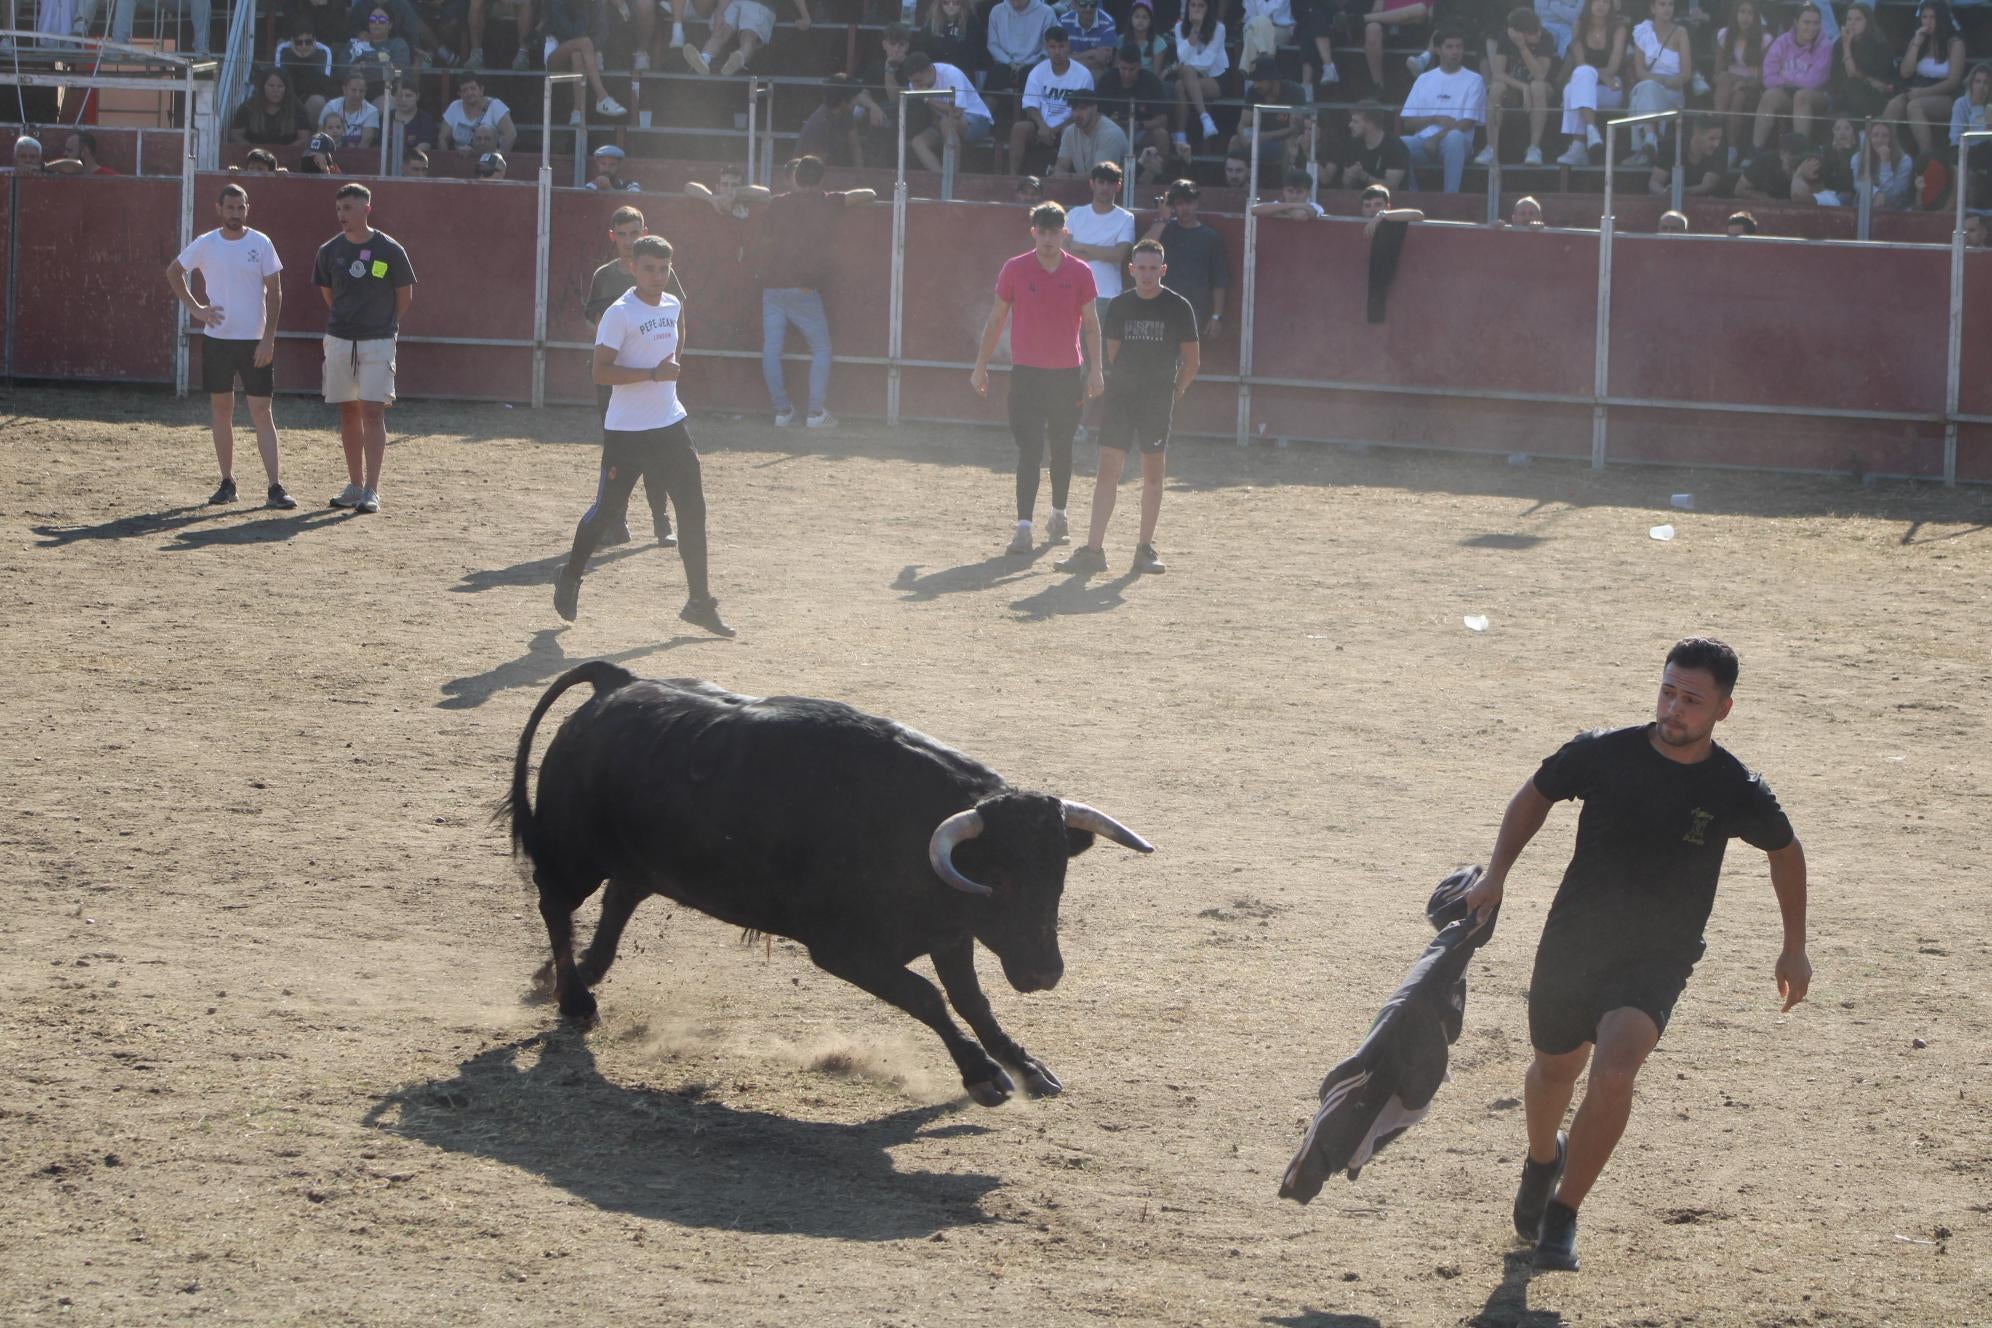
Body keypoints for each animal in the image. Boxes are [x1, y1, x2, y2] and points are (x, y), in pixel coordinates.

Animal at [509, 661, 1155, 1106]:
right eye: (994, 875)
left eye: (1057, 873)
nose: (1044, 973)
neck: (903, 823)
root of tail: (616, 684)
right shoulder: (843, 951)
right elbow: (928, 996)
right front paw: (984, 1076)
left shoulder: (949, 935)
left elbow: (973, 1001)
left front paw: (1026, 1067)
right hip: (575, 854)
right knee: (555, 901)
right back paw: (573, 996)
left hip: (641, 862)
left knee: (620, 898)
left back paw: (574, 978)